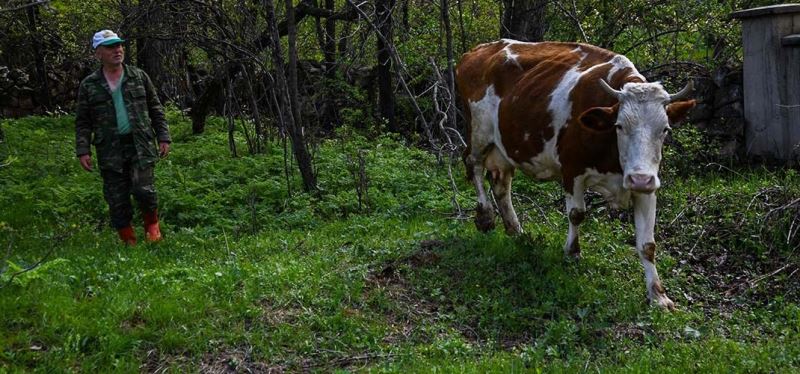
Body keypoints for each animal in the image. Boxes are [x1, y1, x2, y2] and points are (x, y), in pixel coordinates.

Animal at [456, 39, 692, 312]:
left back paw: (515, 229)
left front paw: (658, 295)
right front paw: (572, 252)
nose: (639, 178)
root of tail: (481, 49)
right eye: (619, 125)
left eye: (665, 129)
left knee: (501, 183)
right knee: (473, 165)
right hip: (478, 133)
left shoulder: (647, 185)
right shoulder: (572, 169)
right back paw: (485, 217)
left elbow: (648, 243)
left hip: (503, 145)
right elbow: (577, 213)